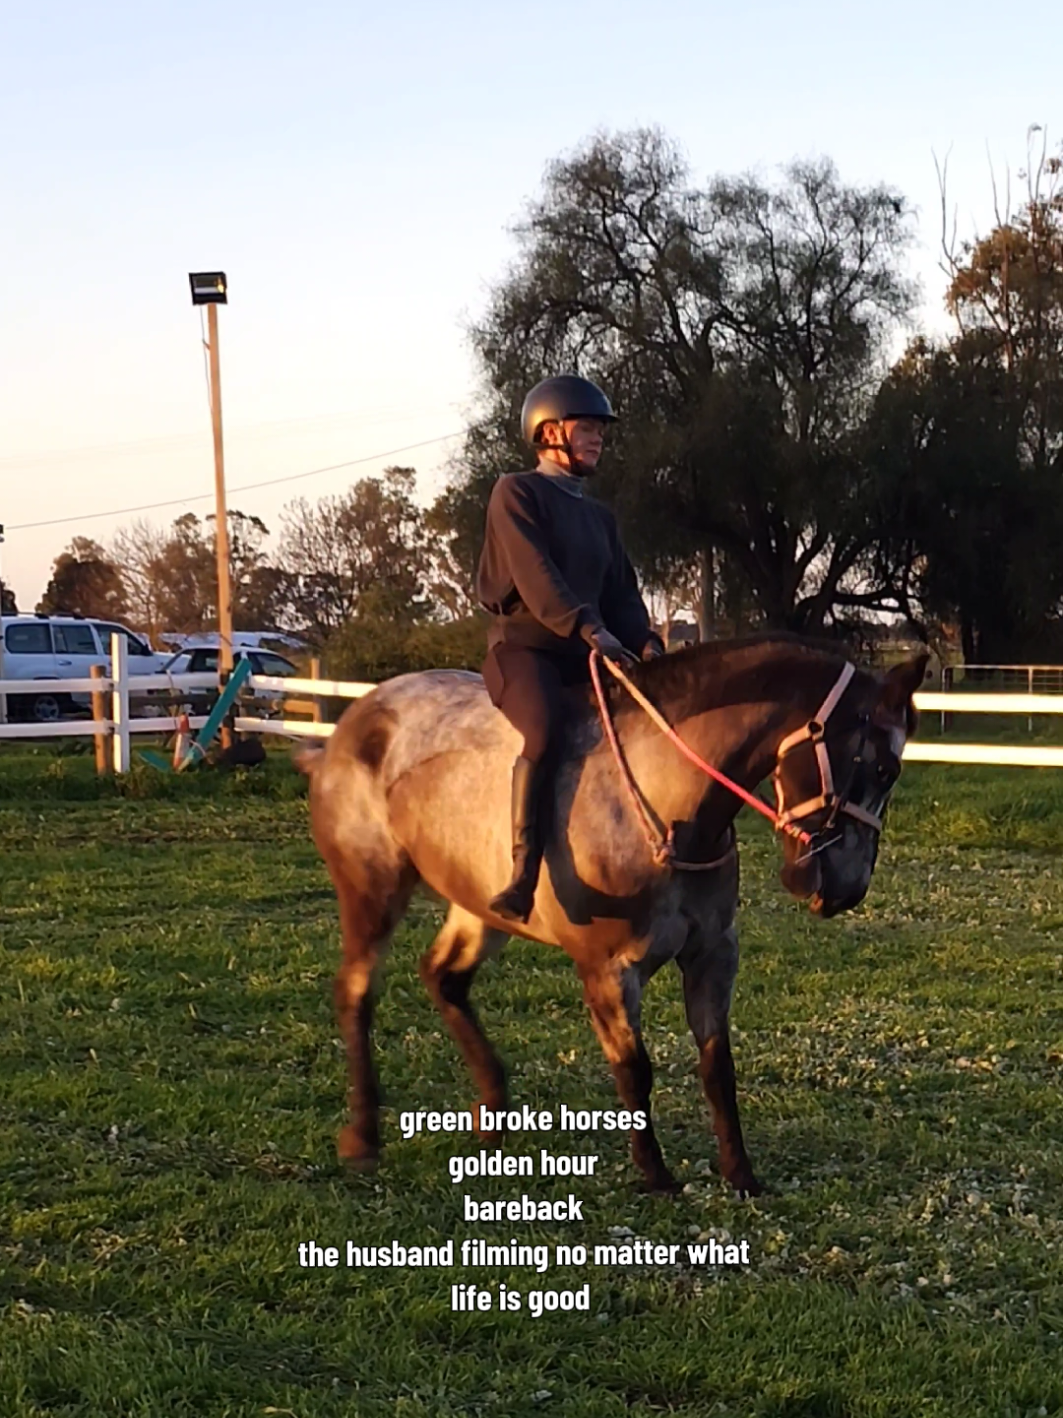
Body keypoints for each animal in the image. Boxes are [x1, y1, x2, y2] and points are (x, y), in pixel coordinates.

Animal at [296, 633, 927, 1196]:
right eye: (882, 768)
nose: (844, 889)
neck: (664, 802)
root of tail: (352, 726)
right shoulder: (609, 967)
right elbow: (634, 1067)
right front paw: (656, 1175)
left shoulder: (712, 955)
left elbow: (717, 1067)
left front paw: (740, 1175)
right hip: (373, 890)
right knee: (356, 992)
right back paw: (363, 1135)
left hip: (479, 909)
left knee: (443, 978)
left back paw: (493, 1111)